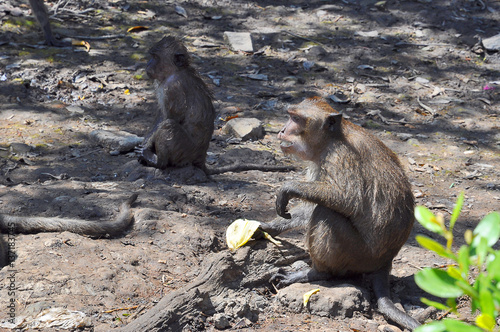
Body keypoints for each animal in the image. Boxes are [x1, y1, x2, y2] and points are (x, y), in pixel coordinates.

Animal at [135, 35, 294, 176]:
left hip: (185, 151)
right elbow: (160, 115)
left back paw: (158, 162)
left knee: (168, 125)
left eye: (155, 57)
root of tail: (200, 157)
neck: (176, 71)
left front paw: (147, 149)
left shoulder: (174, 87)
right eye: (151, 56)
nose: (147, 65)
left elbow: (169, 117)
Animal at [262, 97, 422, 330]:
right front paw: (268, 227)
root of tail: (386, 261)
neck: (332, 138)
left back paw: (316, 273)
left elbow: (346, 199)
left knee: (327, 213)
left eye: (297, 119)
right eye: (290, 115)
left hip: (359, 255)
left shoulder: (340, 158)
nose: (282, 130)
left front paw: (288, 188)